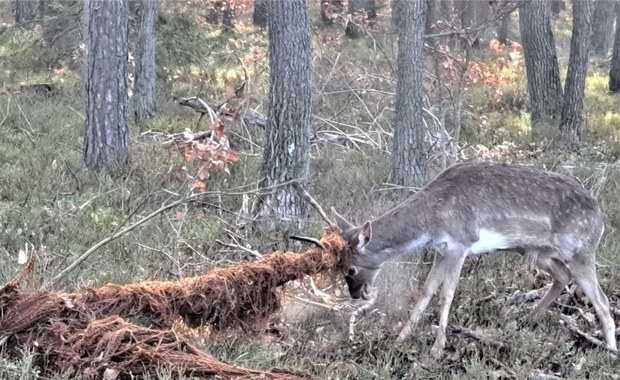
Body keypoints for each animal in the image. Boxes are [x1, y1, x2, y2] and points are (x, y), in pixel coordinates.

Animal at [330, 160, 616, 356]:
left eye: (351, 269)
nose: (356, 294)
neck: (430, 221)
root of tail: (601, 217)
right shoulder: (442, 250)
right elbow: (427, 290)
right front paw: (402, 337)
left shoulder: (460, 243)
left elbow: (446, 295)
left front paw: (437, 349)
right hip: (536, 251)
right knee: (562, 276)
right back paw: (525, 318)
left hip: (579, 249)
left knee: (602, 301)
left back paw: (610, 350)